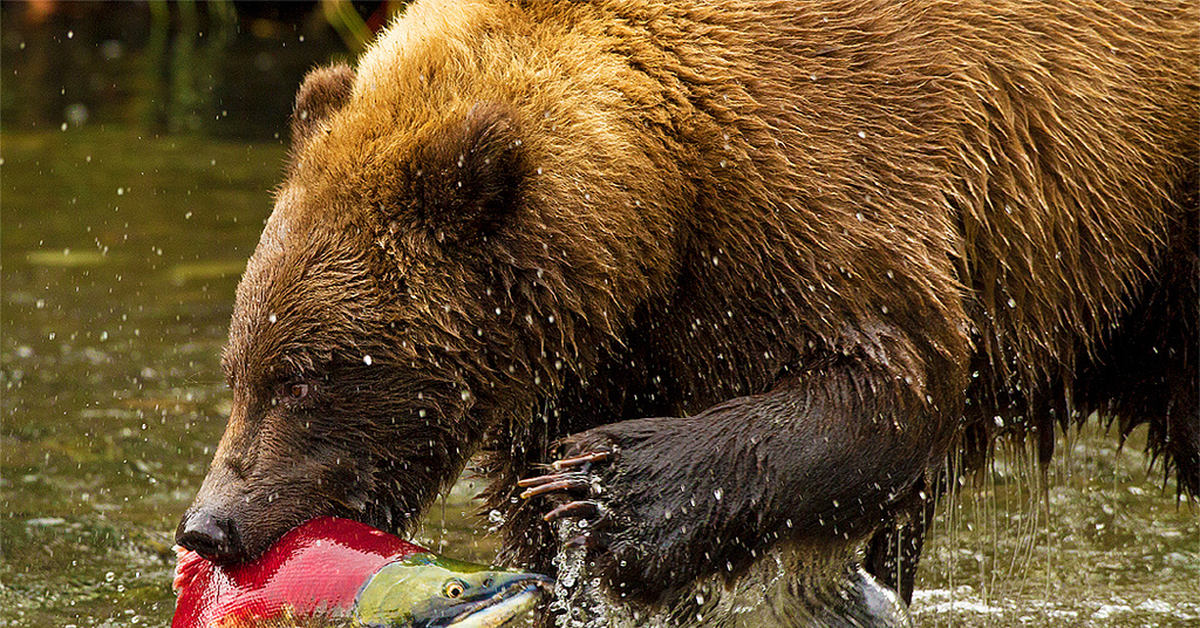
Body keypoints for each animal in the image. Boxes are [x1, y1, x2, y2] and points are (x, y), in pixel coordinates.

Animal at [174, 1, 1195, 624]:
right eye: (242, 369)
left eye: (309, 376)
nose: (208, 524)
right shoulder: (607, 344)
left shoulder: (826, 180)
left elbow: (887, 386)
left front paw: (601, 487)